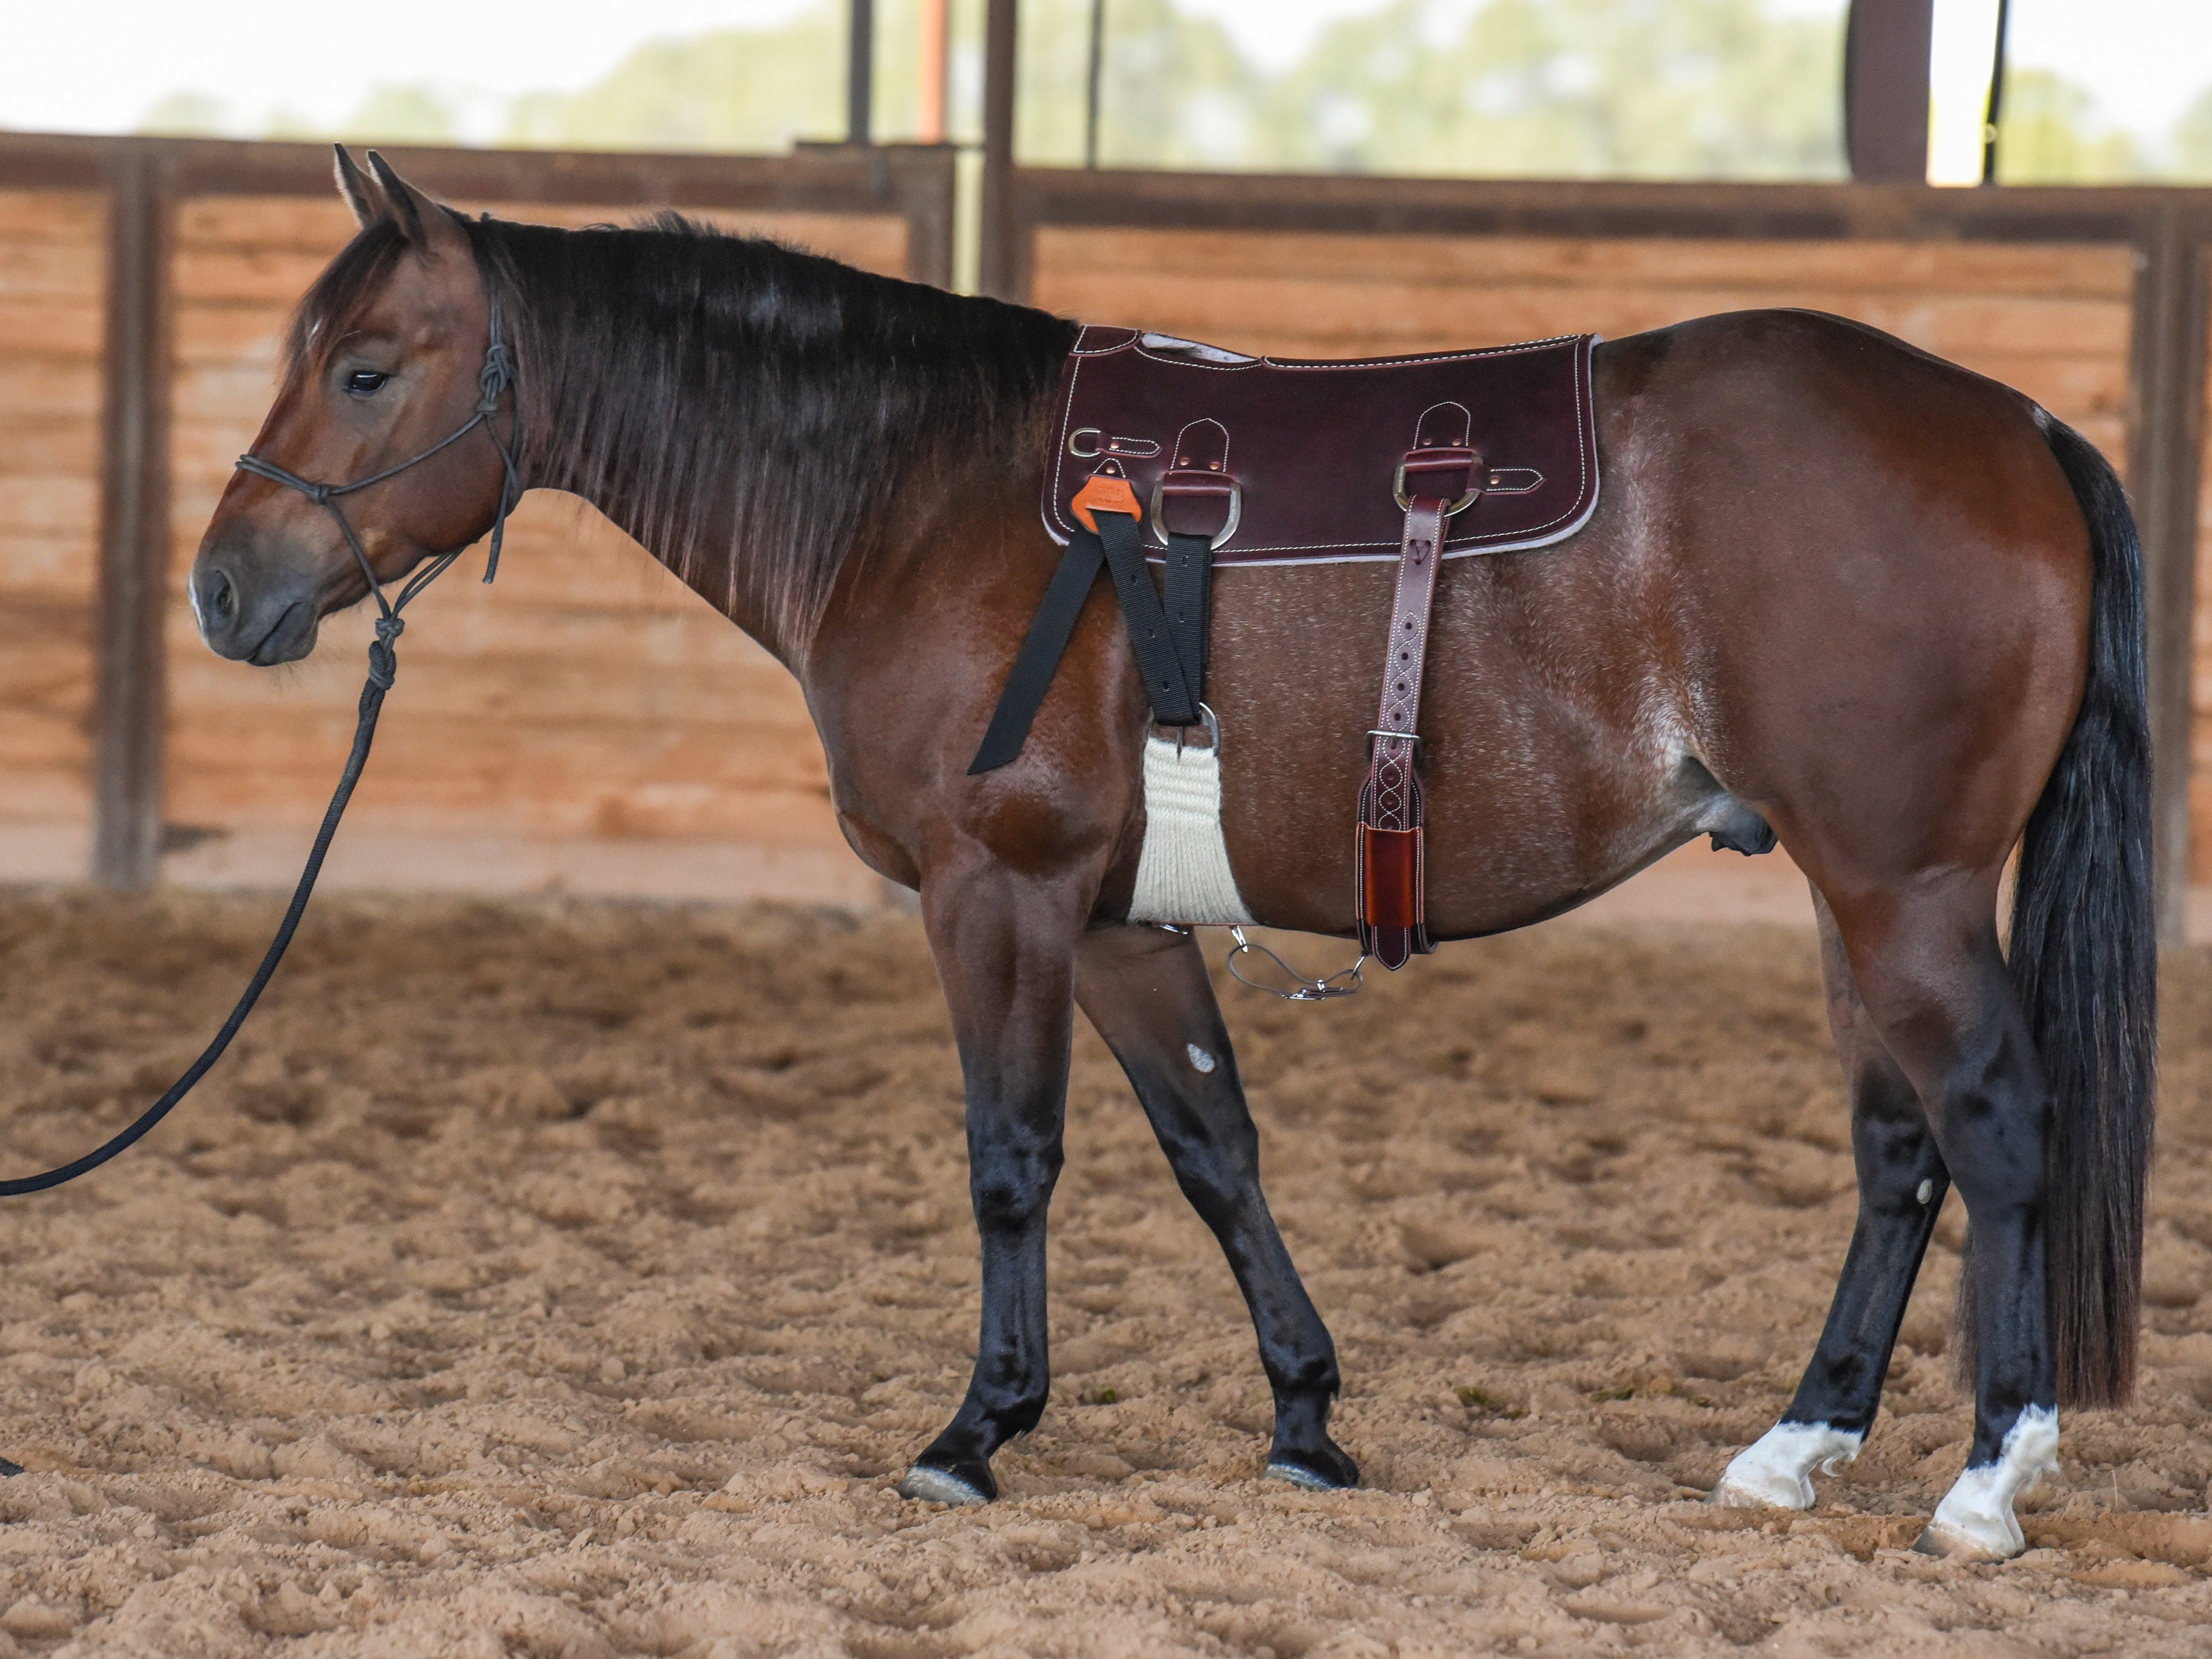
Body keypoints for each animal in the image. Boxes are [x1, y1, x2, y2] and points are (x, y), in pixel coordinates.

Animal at [187, 149, 2153, 1561]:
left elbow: (1012, 1160)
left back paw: (1988, 1476)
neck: (922, 494)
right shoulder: (1126, 922)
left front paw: (975, 1431)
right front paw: (1304, 1415)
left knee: (1994, 1120)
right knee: (1899, 1150)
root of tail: (2014, 423)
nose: (221, 588)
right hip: (1844, 890)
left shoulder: (998, 894)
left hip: (1900, 888)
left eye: (365, 367)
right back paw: (1797, 1442)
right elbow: (1215, 1152)